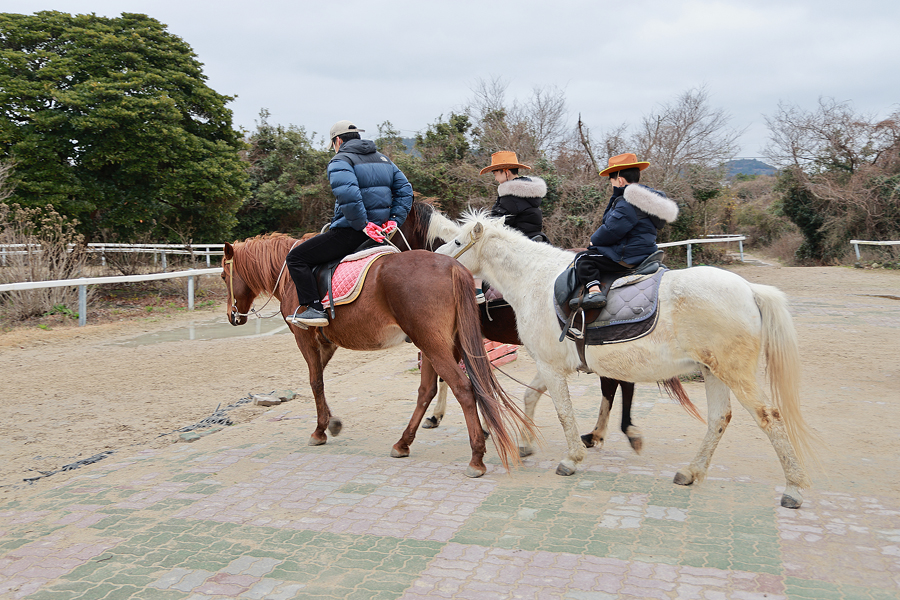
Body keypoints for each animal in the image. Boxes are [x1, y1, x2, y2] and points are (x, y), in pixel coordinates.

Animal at [222, 234, 536, 478]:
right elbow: (320, 378)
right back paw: (404, 443)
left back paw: (476, 458)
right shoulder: (328, 342)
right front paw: (332, 423)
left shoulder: (305, 338)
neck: (290, 275)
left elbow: (315, 382)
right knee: (430, 390)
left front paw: (320, 430)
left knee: (462, 388)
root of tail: (453, 267)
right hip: (440, 343)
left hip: (433, 344)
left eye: (224, 276)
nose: (232, 317)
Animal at [438, 213, 824, 508]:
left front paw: (571, 458)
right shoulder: (549, 365)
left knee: (769, 418)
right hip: (714, 372)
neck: (536, 279)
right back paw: (691, 472)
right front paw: (527, 442)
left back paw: (793, 488)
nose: (438, 258)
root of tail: (748, 289)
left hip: (735, 373)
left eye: (456, 242)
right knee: (719, 419)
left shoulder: (550, 366)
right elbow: (531, 396)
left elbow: (562, 412)